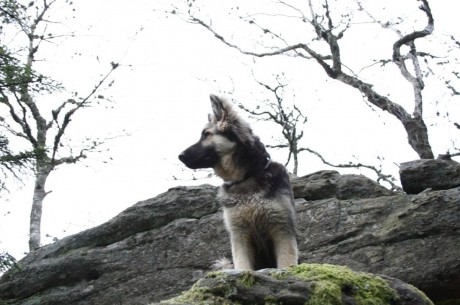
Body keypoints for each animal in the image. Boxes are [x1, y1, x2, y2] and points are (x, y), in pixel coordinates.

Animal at [176, 94, 298, 268]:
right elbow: (243, 266)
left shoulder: (282, 230)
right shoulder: (239, 234)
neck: (247, 177)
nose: (180, 156)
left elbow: (286, 263)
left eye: (206, 134)